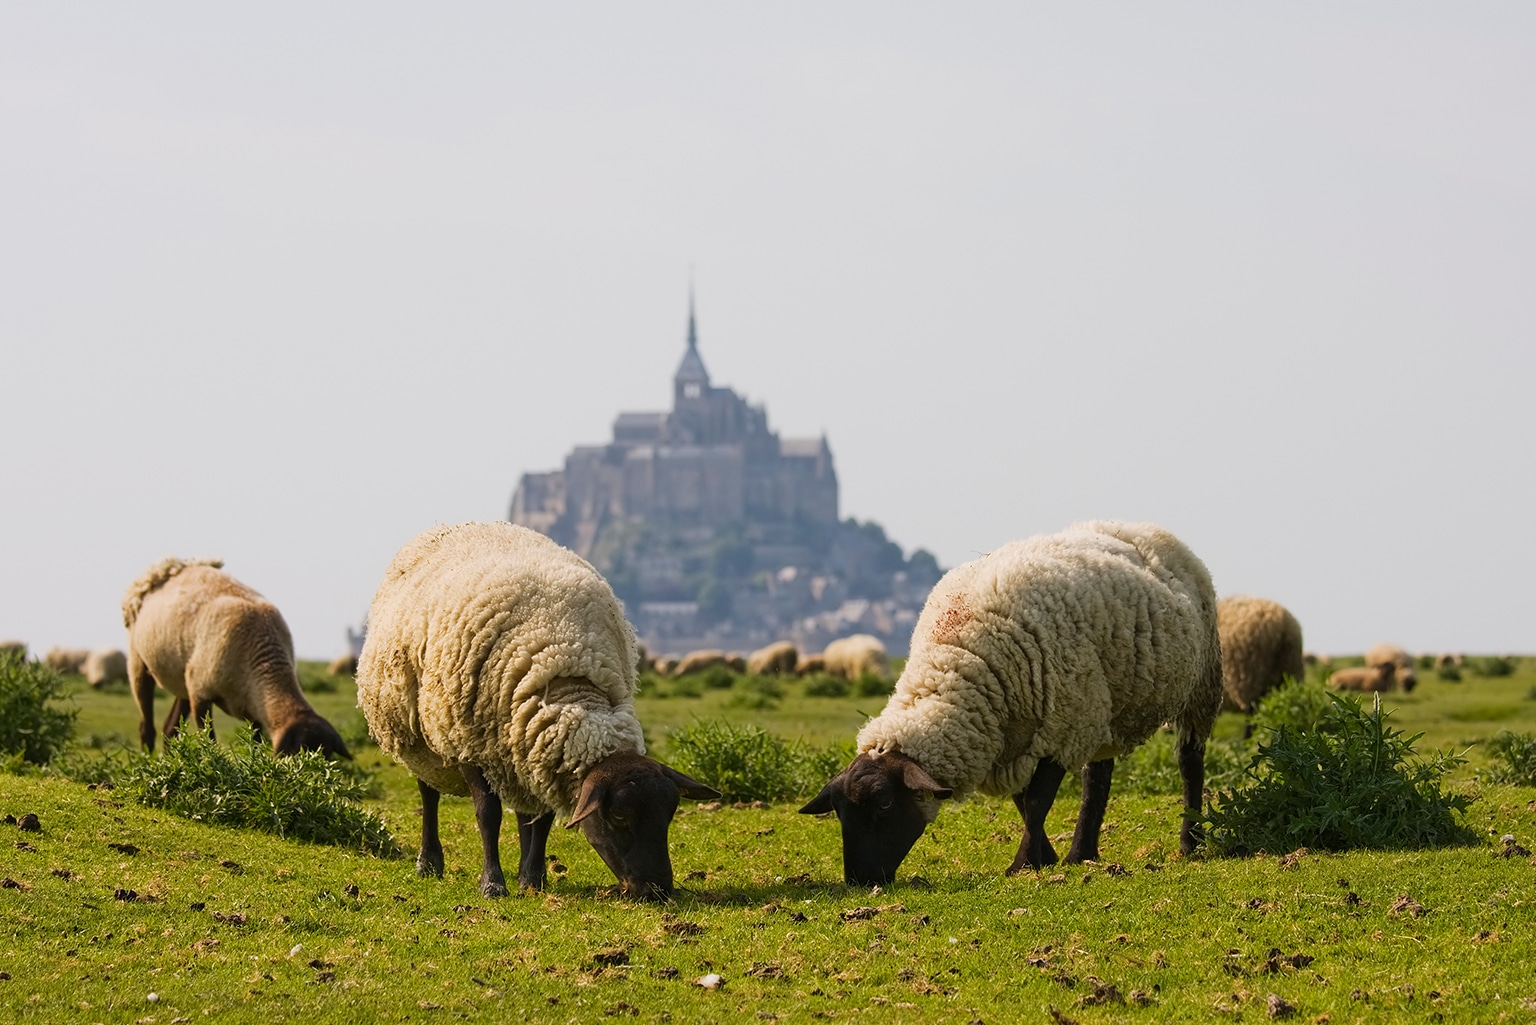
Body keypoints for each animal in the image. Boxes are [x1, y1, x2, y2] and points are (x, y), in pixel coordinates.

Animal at [122, 557, 350, 758]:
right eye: (299, 753)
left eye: (327, 756)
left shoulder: (254, 710)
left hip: (184, 679)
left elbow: (255, 744)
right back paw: (149, 760)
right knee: (147, 727)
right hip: (139, 662)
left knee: (170, 728)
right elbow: (209, 741)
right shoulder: (201, 694)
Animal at [356, 522, 717, 900]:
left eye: (670, 815)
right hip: (421, 739)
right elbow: (488, 815)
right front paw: (492, 884)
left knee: (522, 807)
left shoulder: (542, 747)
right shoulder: (470, 747)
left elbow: (541, 818)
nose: (657, 890)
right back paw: (428, 863)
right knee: (429, 795)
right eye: (618, 817)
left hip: (515, 744)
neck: (566, 675)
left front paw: (532, 878)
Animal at [802, 520, 1223, 885]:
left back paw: (1190, 842)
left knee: (1190, 763)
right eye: (840, 812)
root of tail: (1142, 526)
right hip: (1103, 704)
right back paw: (1082, 853)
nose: (860, 880)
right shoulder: (1011, 739)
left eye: (885, 804)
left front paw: (1023, 864)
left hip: (1199, 685)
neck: (957, 658)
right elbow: (1023, 802)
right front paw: (1045, 857)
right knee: (1098, 776)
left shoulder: (1061, 725)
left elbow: (1036, 802)